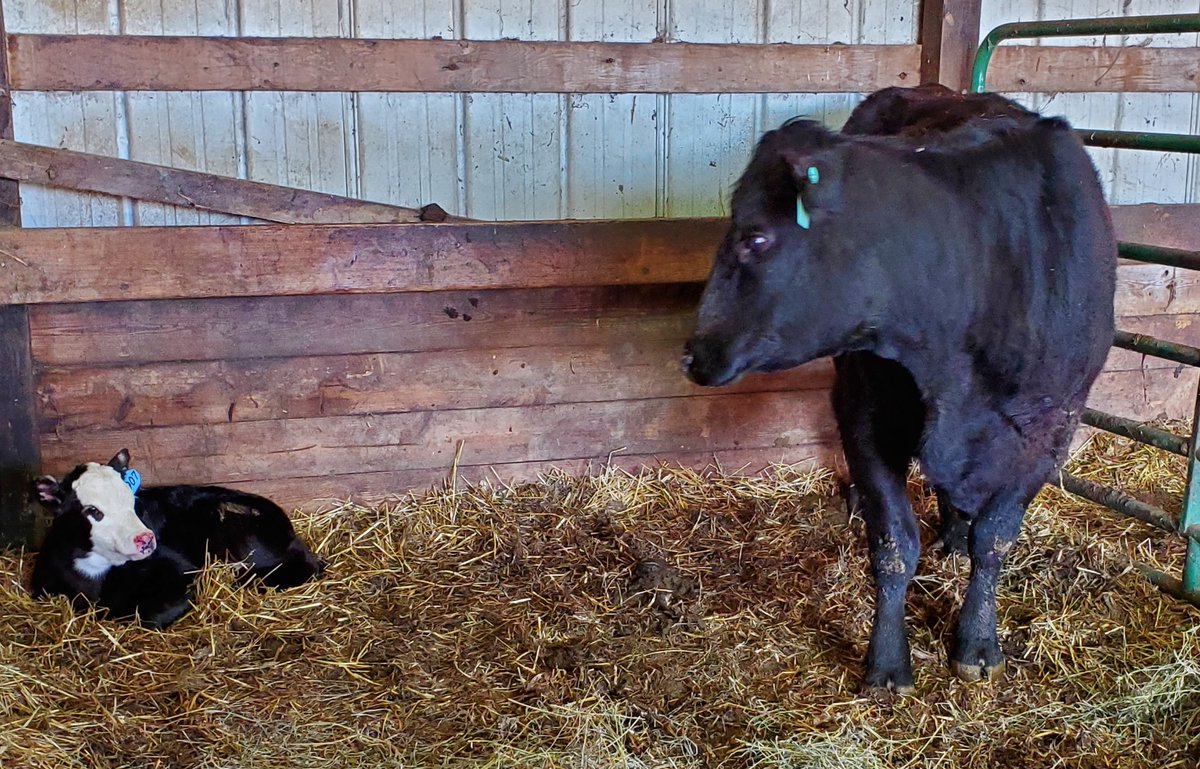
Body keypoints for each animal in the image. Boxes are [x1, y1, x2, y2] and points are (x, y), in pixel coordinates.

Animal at [682, 92, 1116, 692]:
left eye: (756, 237)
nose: (693, 352)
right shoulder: (866, 414)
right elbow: (893, 545)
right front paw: (887, 661)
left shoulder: (1050, 431)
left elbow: (995, 540)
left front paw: (978, 643)